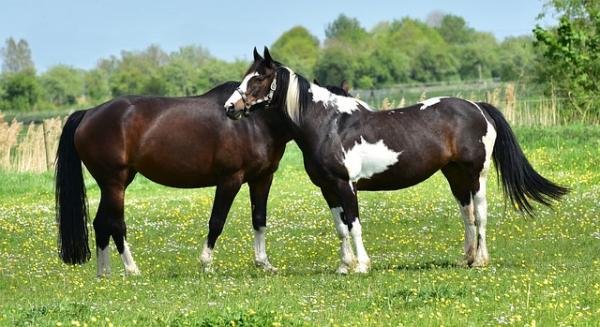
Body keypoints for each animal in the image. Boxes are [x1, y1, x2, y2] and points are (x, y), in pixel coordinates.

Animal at [221, 48, 568, 274]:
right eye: (245, 77)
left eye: (258, 79)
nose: (230, 107)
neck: (329, 124)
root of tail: (478, 107)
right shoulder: (328, 189)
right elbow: (340, 228)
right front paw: (344, 266)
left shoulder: (346, 186)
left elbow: (354, 225)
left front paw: (362, 266)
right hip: (454, 176)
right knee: (466, 215)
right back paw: (467, 259)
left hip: (476, 175)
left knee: (480, 215)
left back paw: (481, 261)